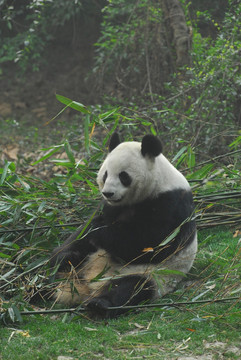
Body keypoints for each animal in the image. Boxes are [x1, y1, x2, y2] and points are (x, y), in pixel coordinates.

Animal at [50, 133, 197, 318]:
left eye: (123, 176)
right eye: (105, 174)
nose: (108, 193)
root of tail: (89, 286)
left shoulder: (171, 204)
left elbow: (147, 244)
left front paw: (99, 231)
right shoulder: (108, 206)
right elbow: (80, 234)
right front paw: (63, 254)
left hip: (151, 275)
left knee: (132, 287)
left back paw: (99, 304)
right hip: (84, 264)